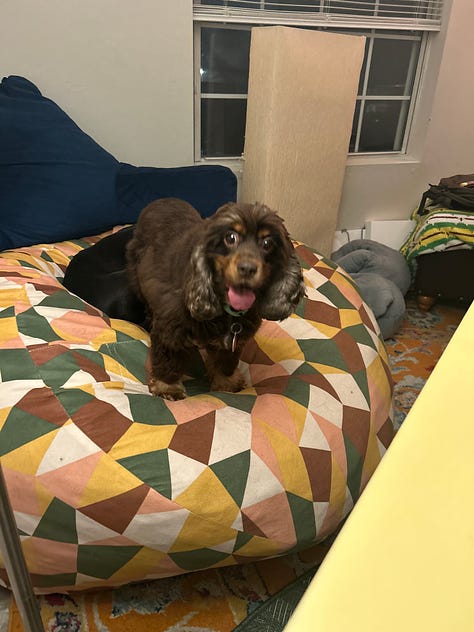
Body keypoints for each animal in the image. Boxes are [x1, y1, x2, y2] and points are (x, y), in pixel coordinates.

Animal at [127, 198, 304, 400]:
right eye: (231, 238)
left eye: (267, 243)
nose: (247, 268)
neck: (227, 311)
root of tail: (163, 199)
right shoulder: (170, 328)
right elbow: (168, 360)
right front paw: (168, 387)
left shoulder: (233, 341)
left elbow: (224, 363)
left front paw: (226, 384)